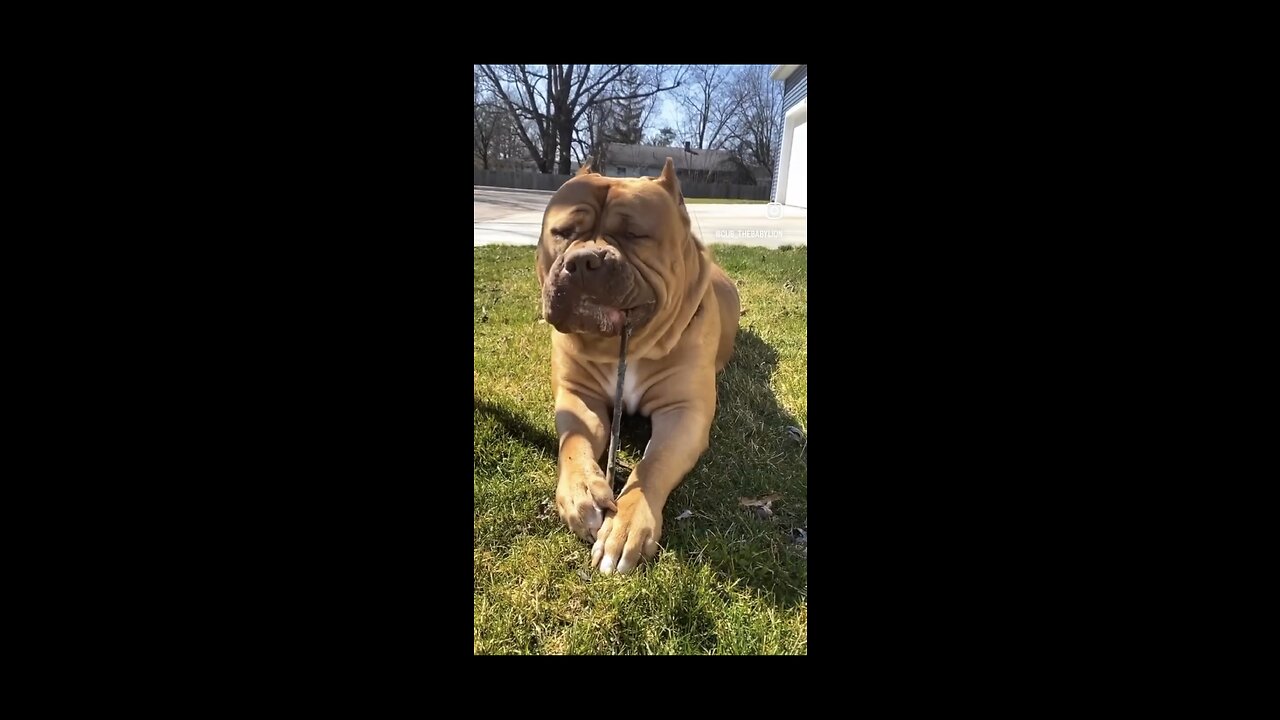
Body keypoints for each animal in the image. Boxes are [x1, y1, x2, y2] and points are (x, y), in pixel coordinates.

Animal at [537, 155, 742, 571]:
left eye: (634, 235)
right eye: (563, 232)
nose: (584, 261)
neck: (624, 346)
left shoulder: (683, 412)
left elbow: (653, 464)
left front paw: (627, 525)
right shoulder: (577, 395)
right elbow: (574, 440)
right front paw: (582, 492)